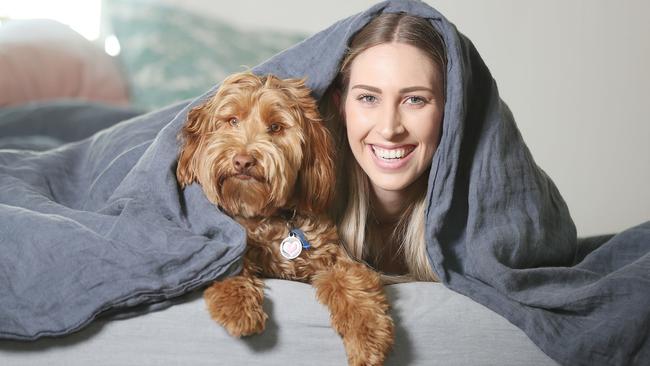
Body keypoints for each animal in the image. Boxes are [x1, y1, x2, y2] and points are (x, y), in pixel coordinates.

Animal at [175, 72, 392, 366]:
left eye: (276, 127)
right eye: (232, 121)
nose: (243, 161)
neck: (273, 217)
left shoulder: (337, 259)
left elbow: (351, 284)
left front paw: (368, 341)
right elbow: (230, 262)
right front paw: (238, 309)